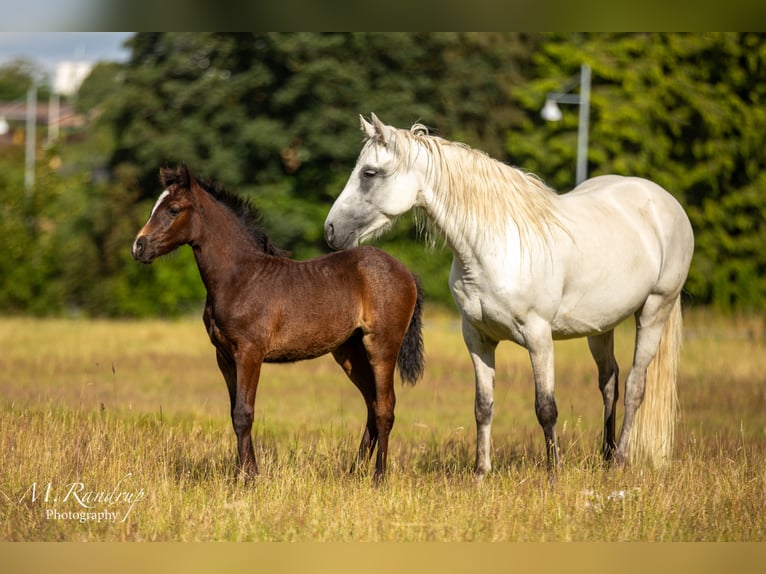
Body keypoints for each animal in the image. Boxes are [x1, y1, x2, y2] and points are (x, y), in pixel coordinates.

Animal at [324, 113, 696, 476]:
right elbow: (483, 406)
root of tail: (666, 203)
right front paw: (481, 473)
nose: (331, 230)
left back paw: (620, 460)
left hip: (654, 311)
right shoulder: (477, 338)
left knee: (635, 387)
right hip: (601, 327)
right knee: (609, 382)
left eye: (369, 173)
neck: (496, 246)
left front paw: (553, 473)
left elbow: (546, 407)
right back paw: (606, 457)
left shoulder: (539, 338)